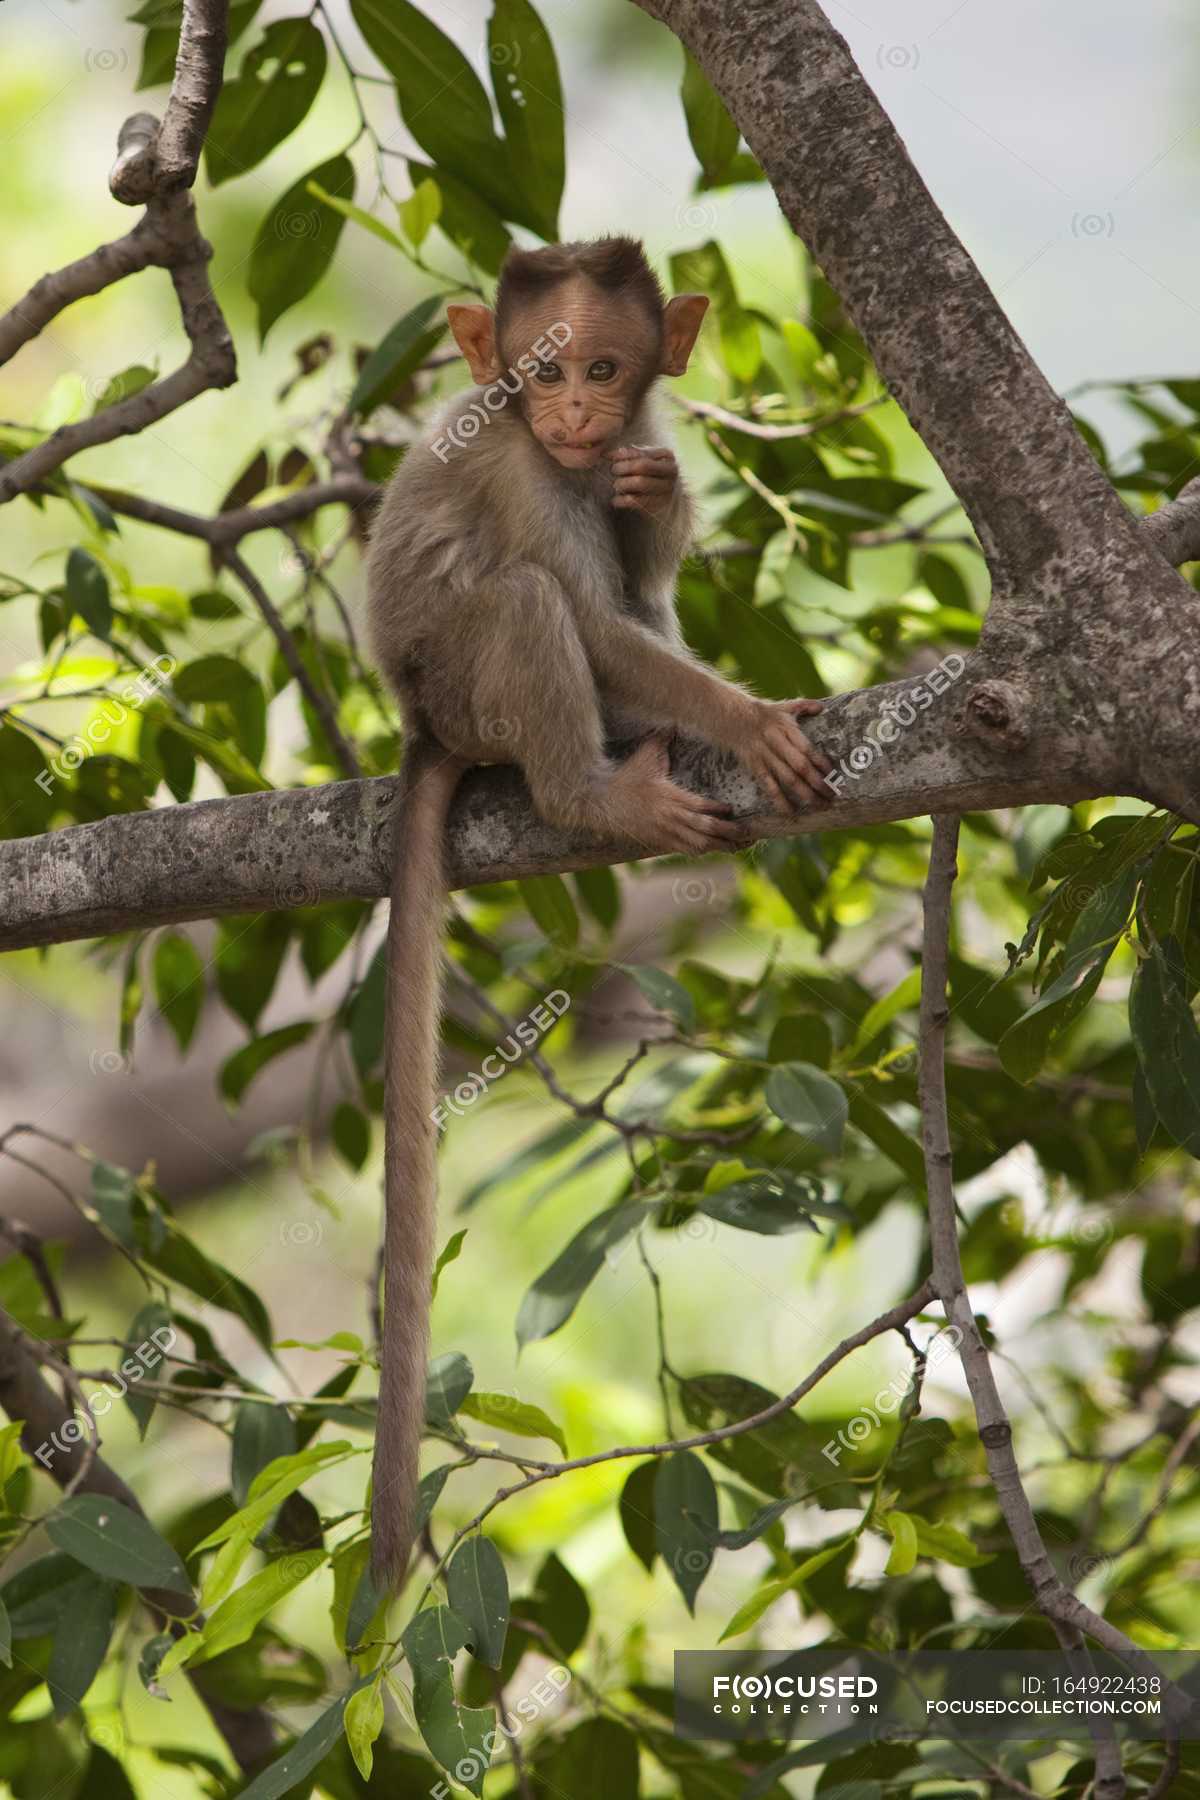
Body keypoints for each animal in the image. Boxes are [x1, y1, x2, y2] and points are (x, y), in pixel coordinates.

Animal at [367, 235, 834, 1591]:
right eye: (543, 373)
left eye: (606, 371)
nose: (575, 413)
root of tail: (419, 721)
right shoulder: (524, 471)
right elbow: (588, 620)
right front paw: (744, 719)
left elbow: (646, 566)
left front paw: (653, 490)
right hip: (466, 687)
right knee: (528, 603)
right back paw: (595, 788)